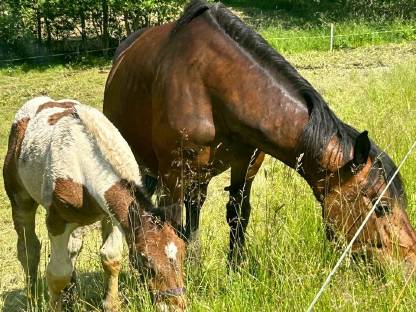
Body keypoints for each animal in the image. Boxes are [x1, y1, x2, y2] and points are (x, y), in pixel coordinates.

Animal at [2, 96, 185, 310]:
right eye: (147, 263)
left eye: (182, 252)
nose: (176, 306)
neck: (82, 164)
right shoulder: (56, 221)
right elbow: (57, 273)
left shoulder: (114, 217)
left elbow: (110, 258)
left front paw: (111, 305)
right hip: (20, 199)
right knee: (29, 249)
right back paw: (32, 299)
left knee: (72, 248)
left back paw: (71, 295)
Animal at [103, 0, 416, 270]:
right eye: (382, 206)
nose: (409, 262)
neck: (209, 84)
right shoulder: (173, 173)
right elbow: (170, 225)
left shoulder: (248, 163)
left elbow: (237, 214)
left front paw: (234, 269)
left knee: (193, 210)